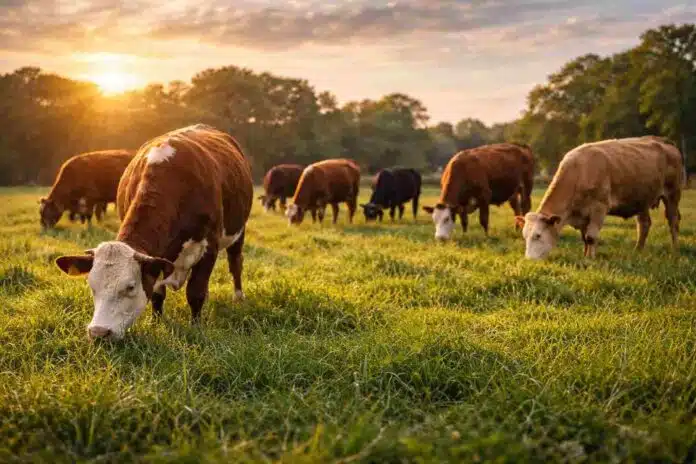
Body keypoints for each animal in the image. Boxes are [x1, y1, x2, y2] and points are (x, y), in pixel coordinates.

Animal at [53, 124, 253, 340]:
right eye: (92, 285)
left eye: (130, 286)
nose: (98, 332)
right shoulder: (157, 259)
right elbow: (158, 293)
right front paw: (156, 322)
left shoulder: (210, 247)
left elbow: (196, 291)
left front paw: (196, 327)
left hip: (239, 231)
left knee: (235, 263)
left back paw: (238, 296)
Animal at [518, 136, 682, 260]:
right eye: (524, 236)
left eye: (538, 235)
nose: (529, 260)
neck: (580, 171)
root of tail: (664, 142)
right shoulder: (583, 215)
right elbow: (585, 238)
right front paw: (585, 256)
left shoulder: (599, 208)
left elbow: (591, 237)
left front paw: (591, 259)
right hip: (642, 199)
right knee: (644, 224)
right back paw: (638, 250)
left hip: (672, 194)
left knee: (673, 221)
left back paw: (675, 250)